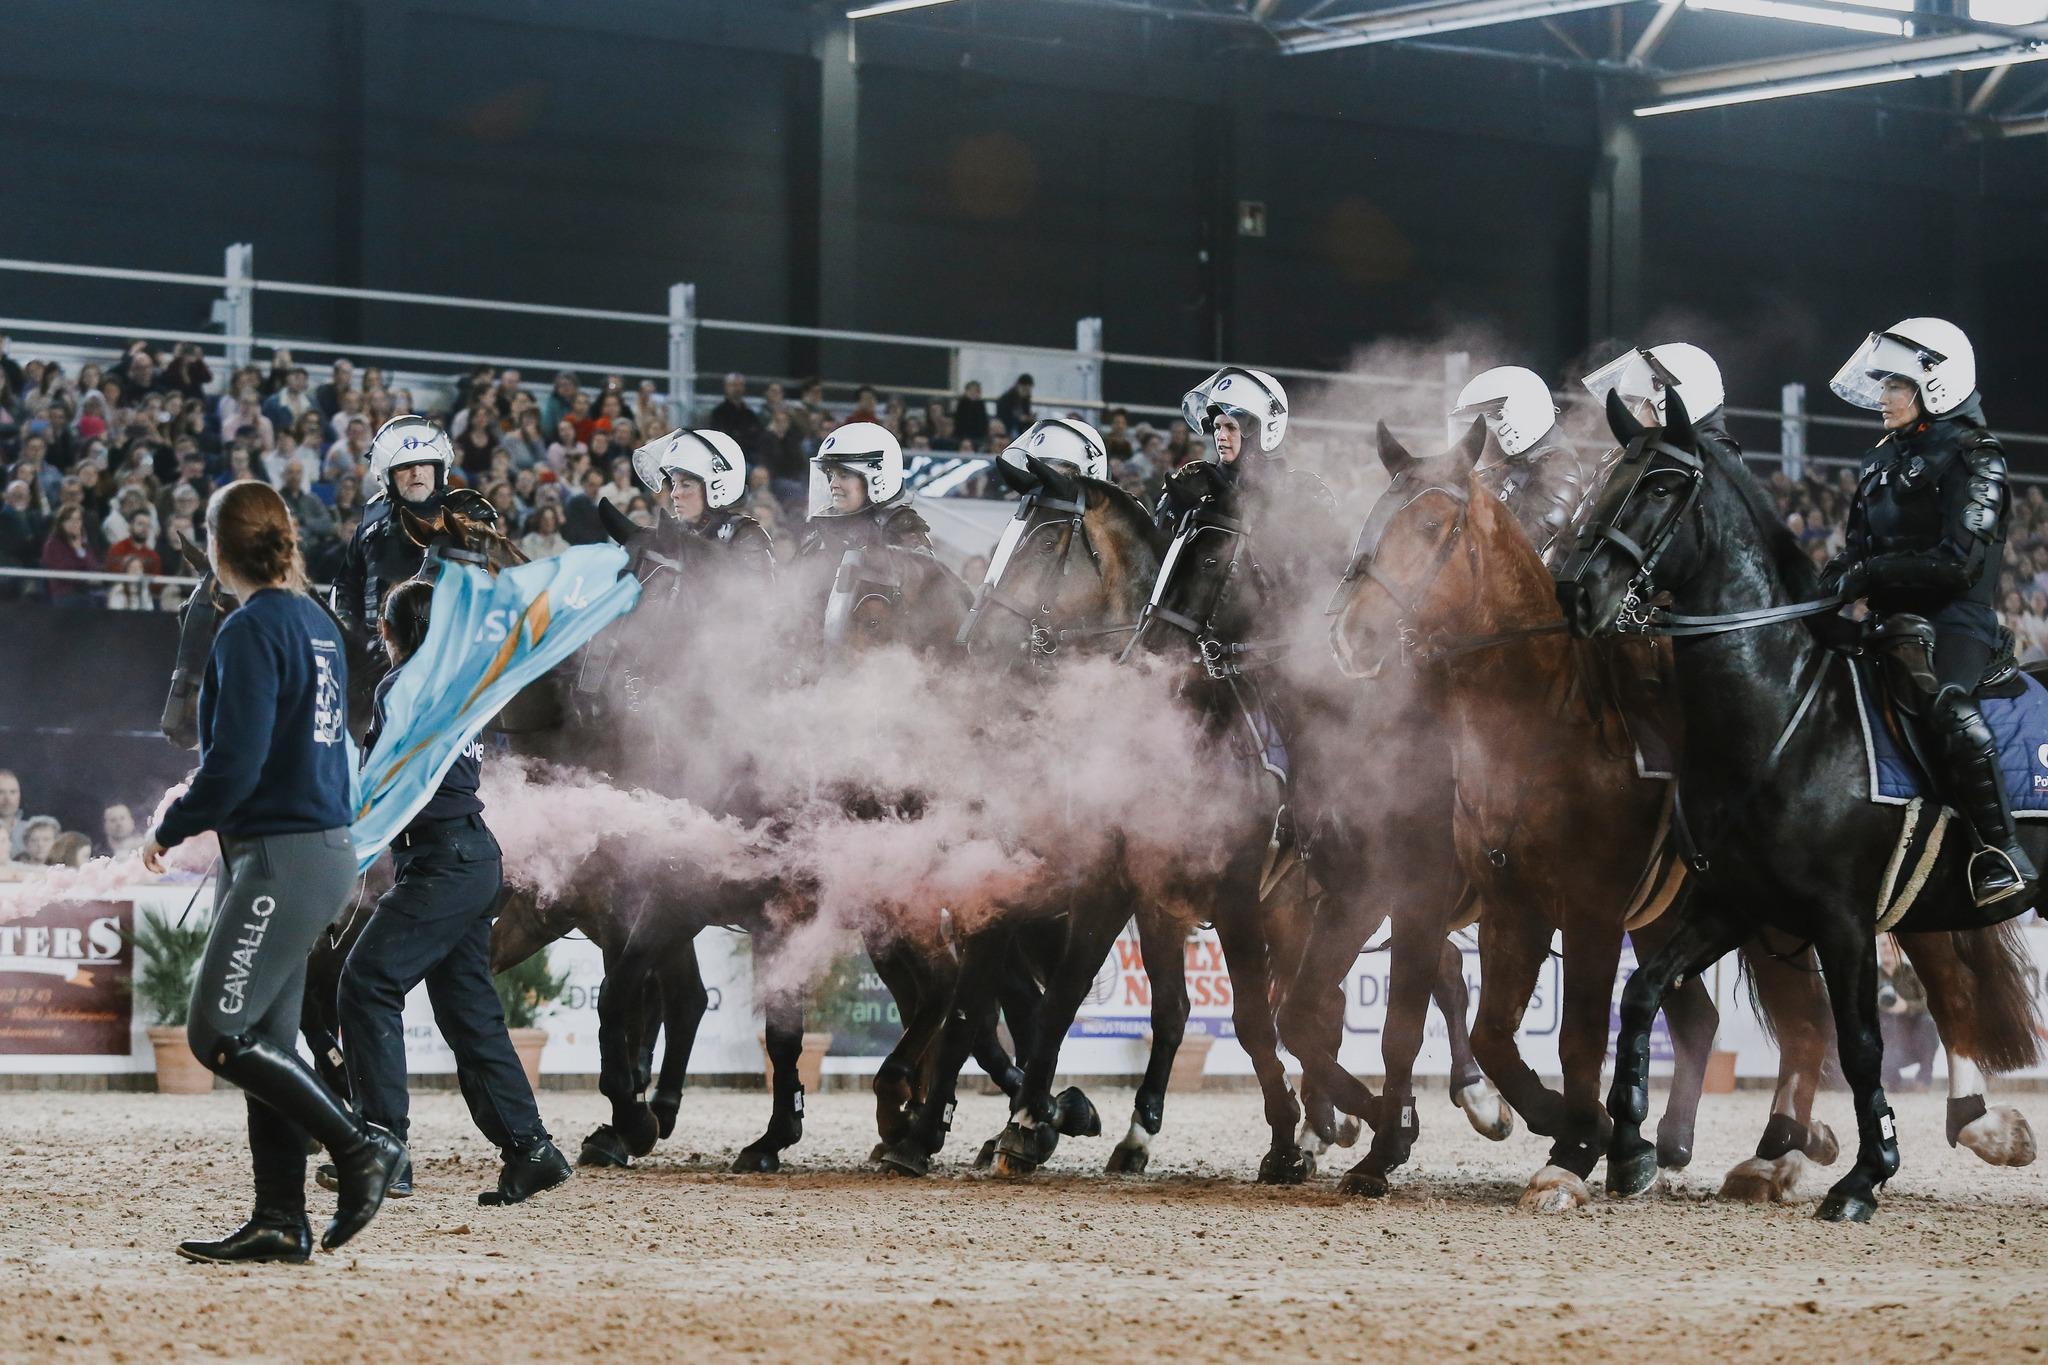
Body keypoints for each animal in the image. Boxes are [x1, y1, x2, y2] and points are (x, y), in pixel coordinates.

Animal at [1557, 388, 2043, 1221]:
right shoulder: (1733, 904)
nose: (1576, 590)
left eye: (1661, 481)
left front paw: (1864, 1176)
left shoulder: (1843, 921)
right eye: (1605, 476)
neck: (1786, 711)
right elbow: (1642, 994)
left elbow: (1862, 1043)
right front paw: (1630, 1148)